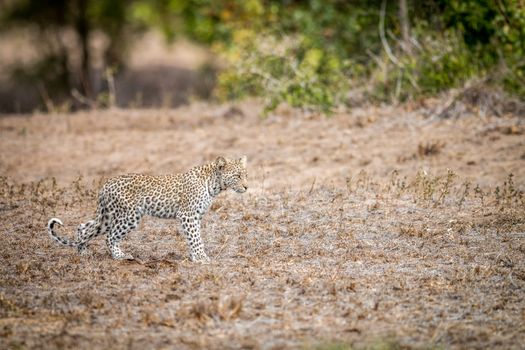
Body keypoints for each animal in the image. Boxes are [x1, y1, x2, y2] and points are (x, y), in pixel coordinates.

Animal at [46, 157, 248, 262]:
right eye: (238, 176)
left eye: (246, 175)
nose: (247, 187)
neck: (215, 184)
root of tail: (105, 185)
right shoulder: (187, 215)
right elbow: (196, 238)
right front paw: (201, 258)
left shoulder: (195, 217)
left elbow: (193, 237)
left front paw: (195, 256)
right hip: (129, 216)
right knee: (110, 237)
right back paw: (120, 256)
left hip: (109, 216)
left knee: (83, 227)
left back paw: (83, 252)